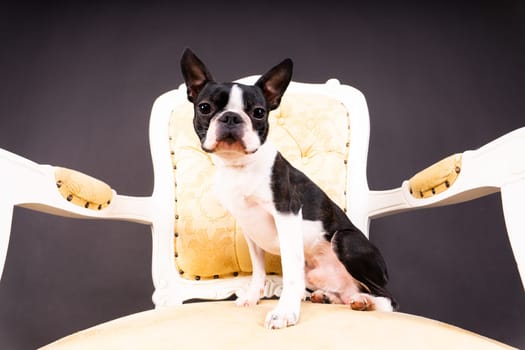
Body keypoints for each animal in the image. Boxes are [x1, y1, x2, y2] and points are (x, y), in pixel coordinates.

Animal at [178, 48, 396, 328]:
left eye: (259, 112)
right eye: (205, 108)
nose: (231, 117)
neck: (241, 166)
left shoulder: (287, 215)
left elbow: (291, 275)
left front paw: (284, 313)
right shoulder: (250, 229)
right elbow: (258, 270)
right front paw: (252, 297)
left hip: (345, 240)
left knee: (387, 299)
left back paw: (366, 302)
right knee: (345, 293)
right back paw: (329, 296)